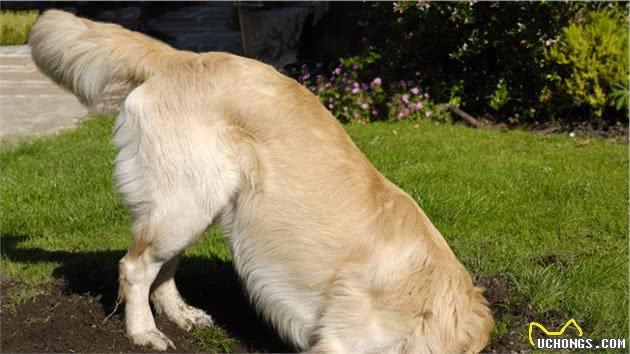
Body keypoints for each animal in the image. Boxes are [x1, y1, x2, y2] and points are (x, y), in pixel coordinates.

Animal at [28, 9, 494, 352]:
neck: (429, 304)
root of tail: (183, 57)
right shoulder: (340, 344)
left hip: (196, 202)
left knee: (163, 269)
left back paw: (181, 315)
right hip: (186, 201)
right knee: (135, 267)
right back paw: (143, 332)